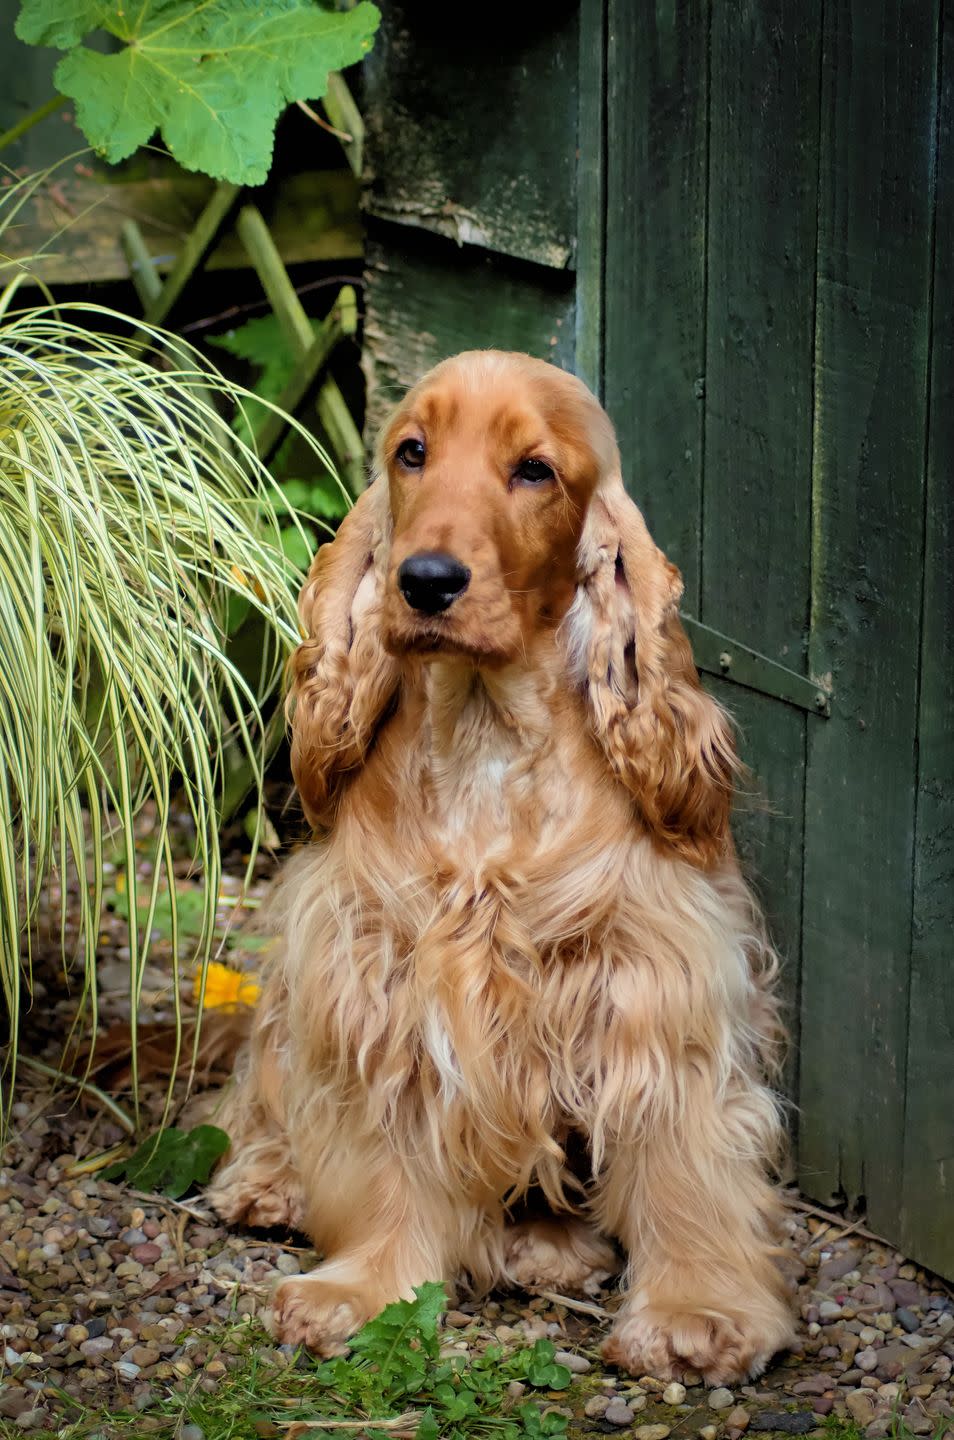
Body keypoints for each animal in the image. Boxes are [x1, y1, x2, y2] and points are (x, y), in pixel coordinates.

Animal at [211, 345, 801, 1382]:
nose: (425, 581)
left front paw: (698, 1314)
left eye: (535, 470)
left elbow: (684, 1158)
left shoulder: (654, 982)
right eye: (411, 451)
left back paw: (547, 1248)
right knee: (265, 1091)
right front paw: (359, 1289)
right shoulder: (380, 970)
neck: (485, 732)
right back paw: (270, 1181)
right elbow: (383, 1151)